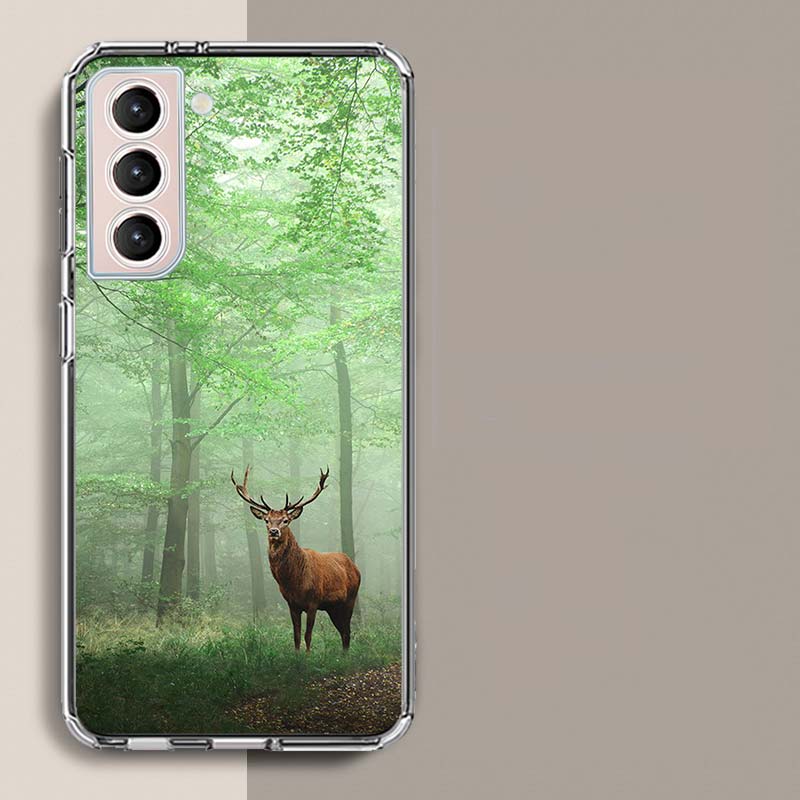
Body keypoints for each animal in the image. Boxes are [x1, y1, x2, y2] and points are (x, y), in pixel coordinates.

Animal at [231, 466, 361, 651]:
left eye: (285, 520)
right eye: (267, 520)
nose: (274, 531)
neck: (294, 581)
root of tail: (355, 568)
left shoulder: (313, 601)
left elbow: (308, 635)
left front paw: (307, 656)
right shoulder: (292, 604)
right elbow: (296, 636)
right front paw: (297, 655)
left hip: (350, 598)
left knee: (347, 631)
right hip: (332, 607)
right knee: (343, 632)